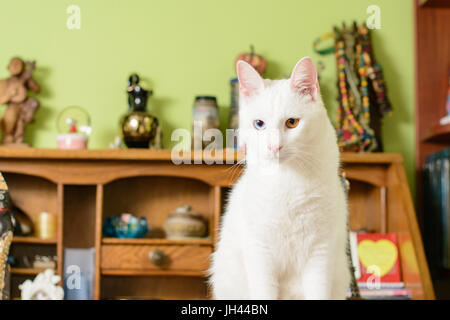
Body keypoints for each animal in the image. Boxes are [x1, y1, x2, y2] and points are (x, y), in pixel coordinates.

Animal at [209, 56, 350, 298]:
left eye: (292, 122)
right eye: (259, 124)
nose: (274, 147)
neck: (287, 180)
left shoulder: (320, 253)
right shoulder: (259, 253)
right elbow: (264, 291)